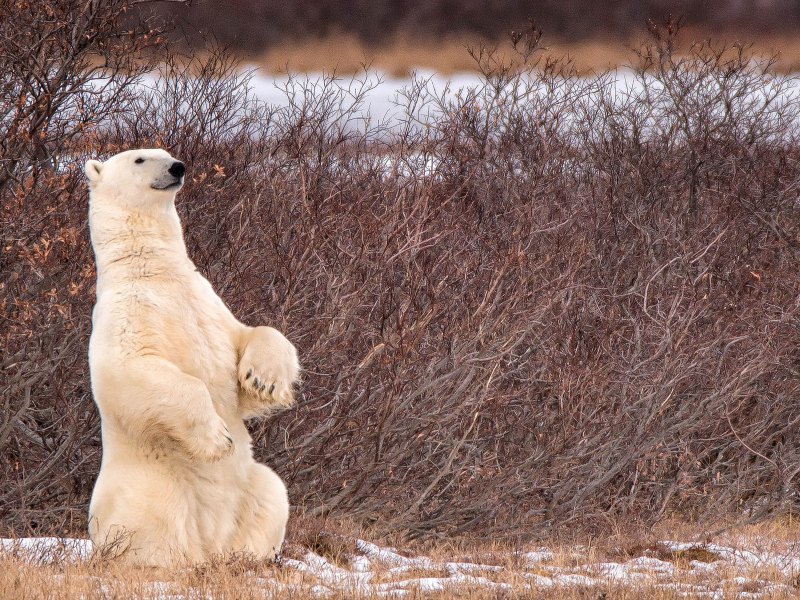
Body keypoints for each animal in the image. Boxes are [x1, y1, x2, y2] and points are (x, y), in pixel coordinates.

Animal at [85, 149, 300, 568]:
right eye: (140, 159)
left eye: (167, 154)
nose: (177, 167)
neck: (153, 271)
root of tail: (210, 542)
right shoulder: (123, 318)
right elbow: (130, 370)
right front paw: (218, 438)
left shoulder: (209, 306)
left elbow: (250, 339)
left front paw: (264, 380)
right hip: (150, 481)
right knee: (153, 516)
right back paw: (162, 561)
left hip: (250, 486)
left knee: (272, 493)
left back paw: (246, 558)